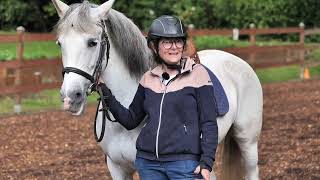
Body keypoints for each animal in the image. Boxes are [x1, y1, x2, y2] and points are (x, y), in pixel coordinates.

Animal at [52, 0, 262, 179]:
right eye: (60, 43)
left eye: (92, 42)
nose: (70, 97)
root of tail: (237, 61)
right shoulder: (117, 169)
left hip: (247, 142)